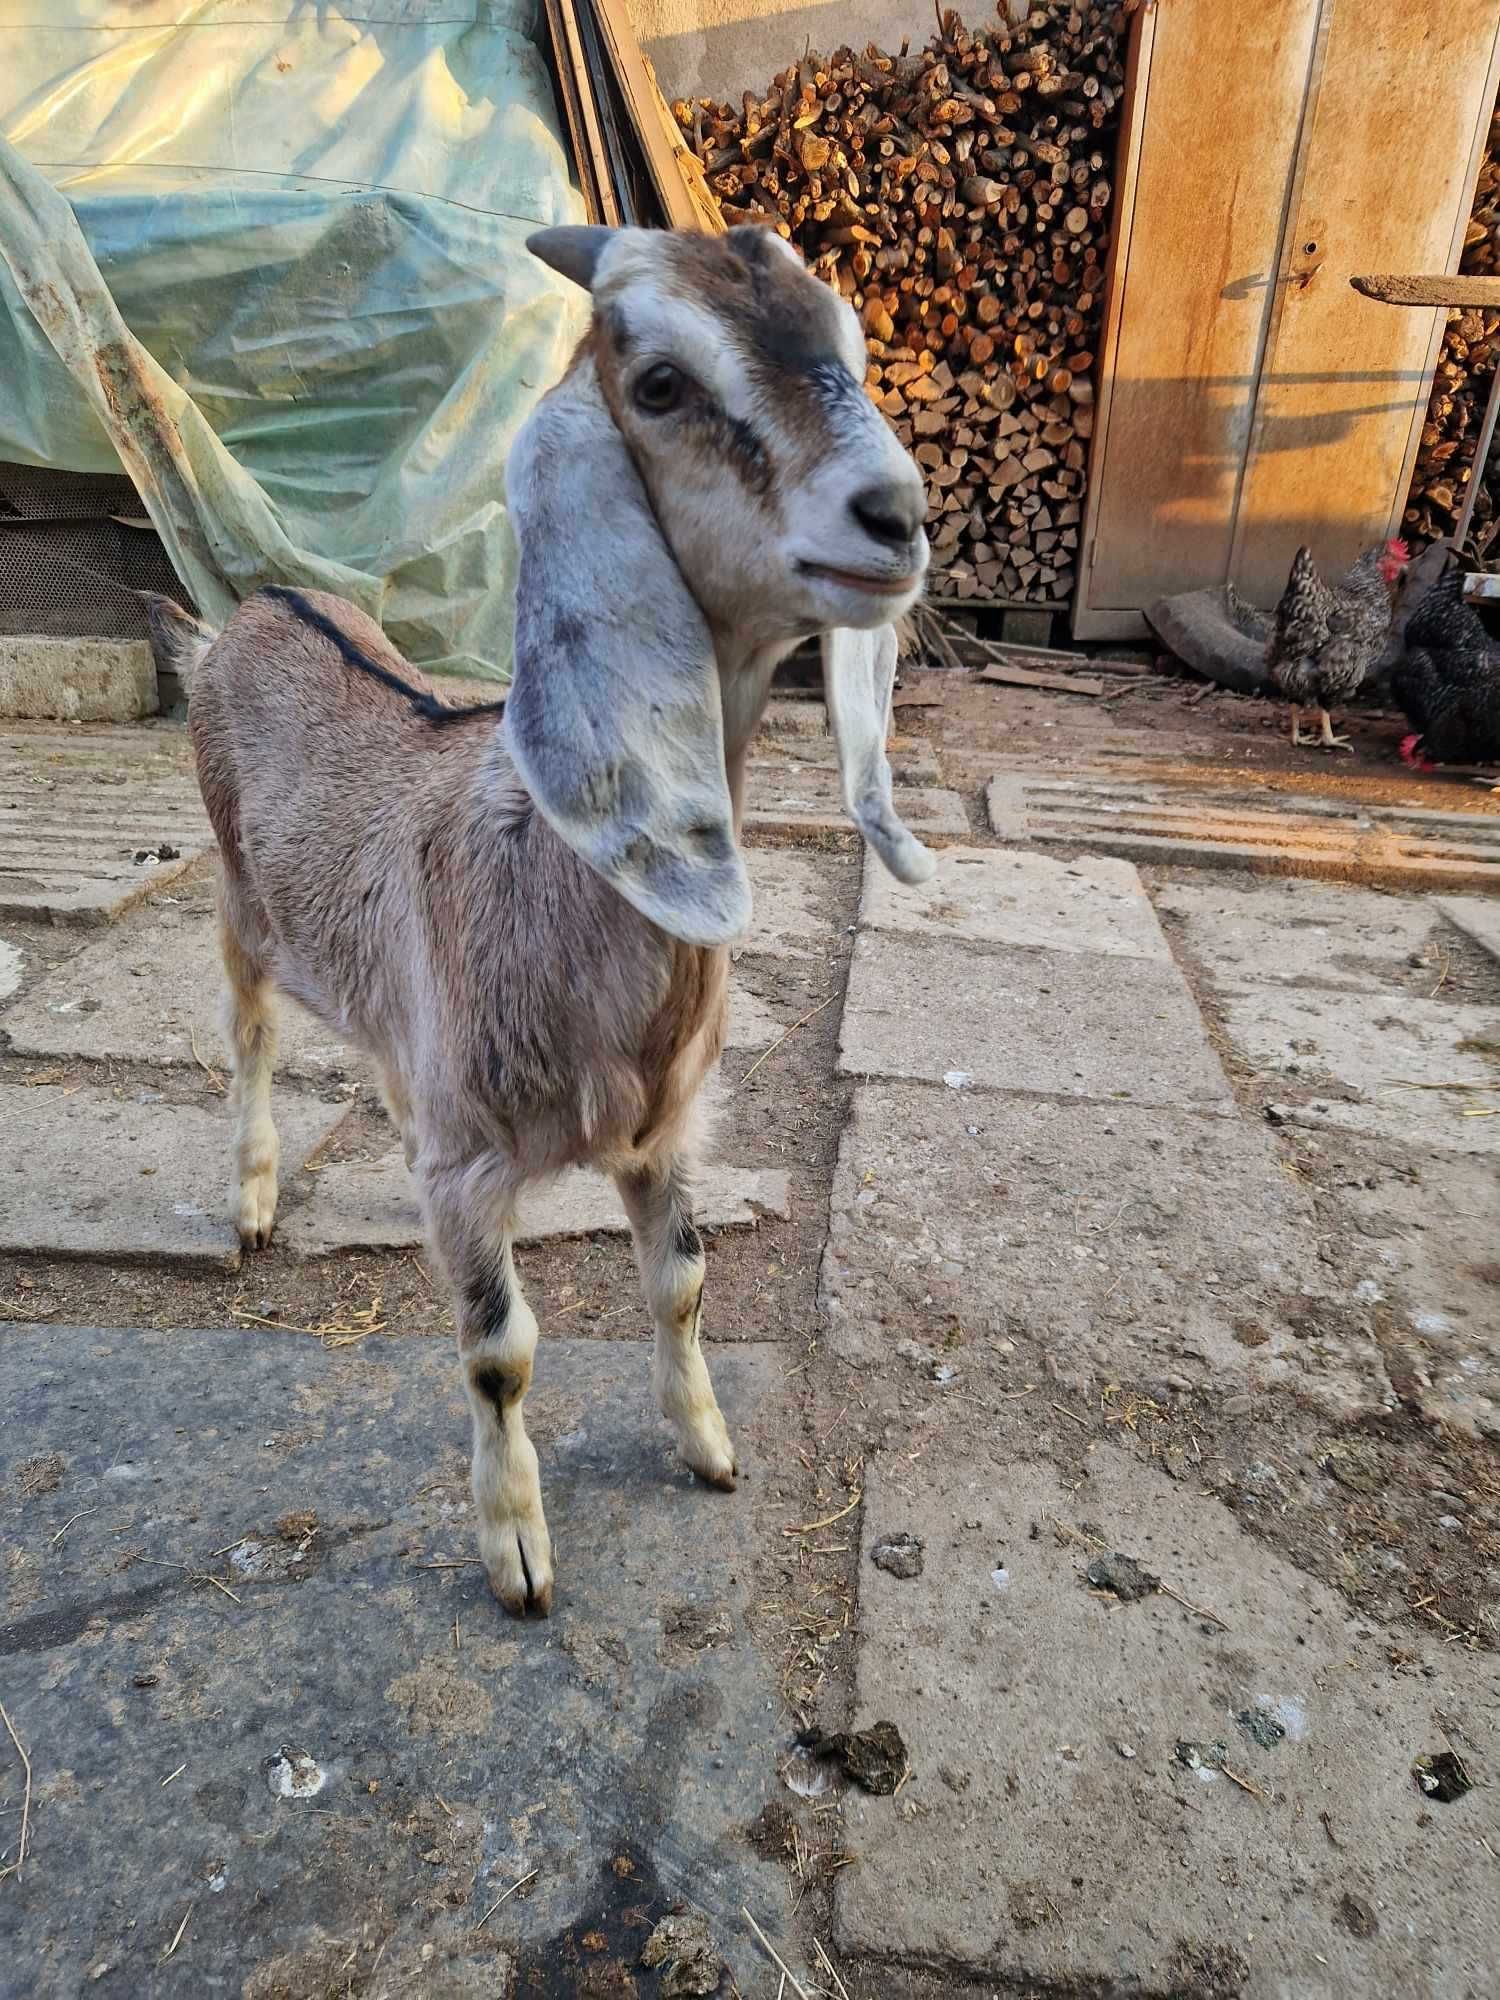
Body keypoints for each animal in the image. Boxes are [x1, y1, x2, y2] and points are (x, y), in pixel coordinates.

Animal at [159, 227, 936, 1616]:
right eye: (662, 381)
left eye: (846, 338)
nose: (895, 516)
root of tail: (250, 605)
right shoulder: (467, 1168)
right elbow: (499, 1350)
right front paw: (517, 1548)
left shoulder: (663, 1130)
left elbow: (683, 1280)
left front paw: (708, 1447)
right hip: (239, 897)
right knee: (247, 1035)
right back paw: (249, 1197)